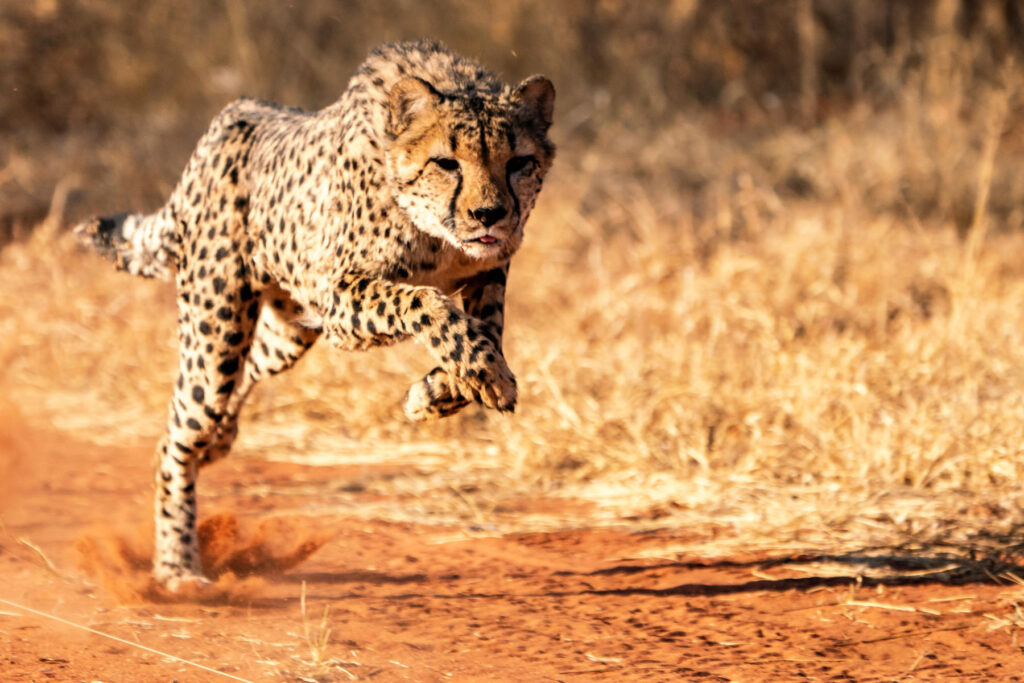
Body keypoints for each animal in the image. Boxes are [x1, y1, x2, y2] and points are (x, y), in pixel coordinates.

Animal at [74, 38, 557, 593]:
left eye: (519, 162)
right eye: (446, 163)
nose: (489, 215)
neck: (435, 233)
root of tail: (230, 117)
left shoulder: (486, 273)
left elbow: (487, 333)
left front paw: (439, 392)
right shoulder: (340, 297)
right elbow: (425, 303)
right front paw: (476, 376)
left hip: (284, 334)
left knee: (241, 380)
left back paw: (220, 443)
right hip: (216, 333)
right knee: (175, 439)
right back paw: (177, 566)